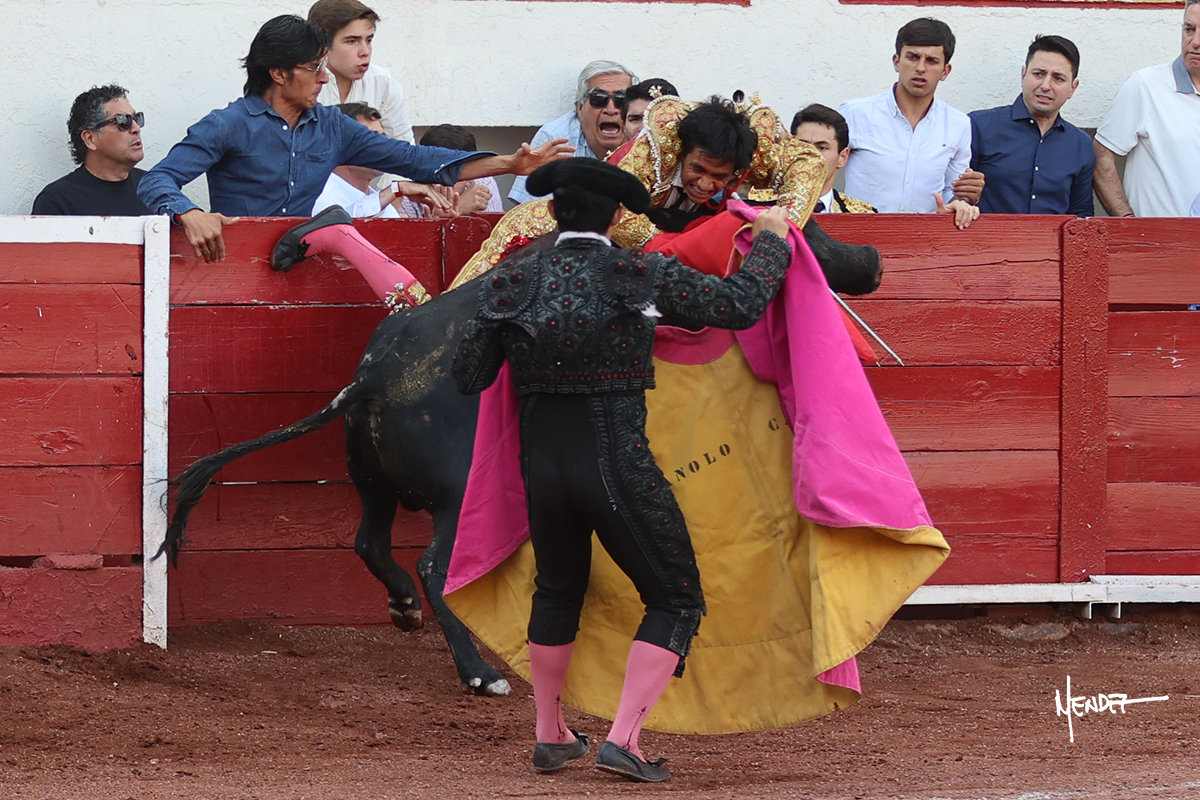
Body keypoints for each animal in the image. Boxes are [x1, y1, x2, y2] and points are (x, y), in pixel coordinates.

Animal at [162, 219, 882, 697]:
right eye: (814, 225)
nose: (872, 260)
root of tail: (371, 377)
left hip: (372, 481)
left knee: (370, 542)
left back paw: (405, 611)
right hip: (456, 498)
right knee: (434, 565)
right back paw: (481, 674)